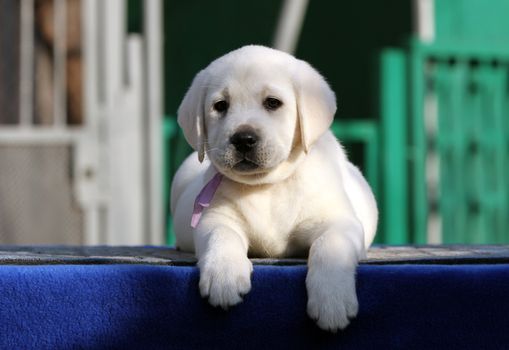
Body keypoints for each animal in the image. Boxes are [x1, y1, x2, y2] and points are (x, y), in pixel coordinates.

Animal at [171, 45, 378, 332]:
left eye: (272, 103)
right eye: (220, 106)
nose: (243, 139)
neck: (267, 185)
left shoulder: (338, 221)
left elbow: (329, 246)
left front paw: (331, 300)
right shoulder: (215, 218)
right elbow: (221, 236)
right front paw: (224, 276)